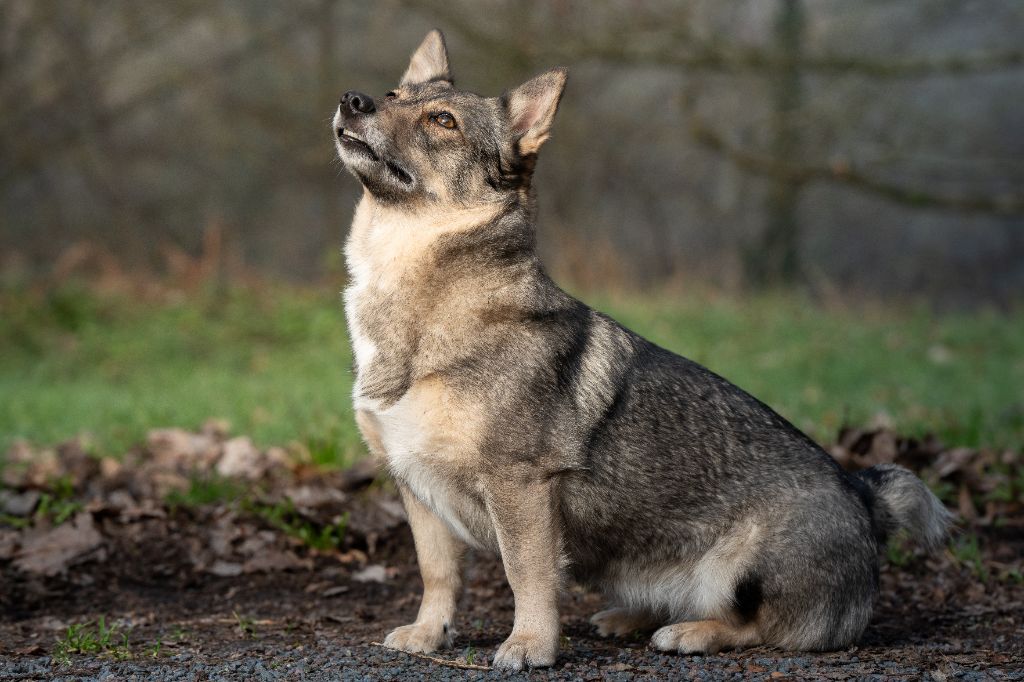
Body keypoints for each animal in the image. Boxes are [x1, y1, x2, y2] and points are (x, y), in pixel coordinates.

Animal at [329, 29, 950, 667]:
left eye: (442, 120)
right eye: (392, 95)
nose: (353, 100)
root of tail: (865, 498)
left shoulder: (520, 487)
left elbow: (527, 575)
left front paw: (530, 644)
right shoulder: (417, 491)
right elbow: (438, 576)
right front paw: (429, 633)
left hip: (740, 565)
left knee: (761, 625)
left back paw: (690, 632)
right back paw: (631, 616)